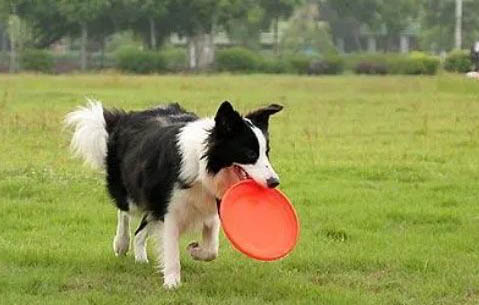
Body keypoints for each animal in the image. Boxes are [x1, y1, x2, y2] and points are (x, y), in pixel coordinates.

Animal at [65, 100, 284, 288]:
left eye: (267, 153)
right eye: (250, 154)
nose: (274, 182)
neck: (203, 167)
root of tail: (124, 118)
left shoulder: (211, 208)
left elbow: (212, 249)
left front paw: (195, 250)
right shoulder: (170, 210)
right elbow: (171, 249)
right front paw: (172, 283)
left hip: (154, 201)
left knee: (140, 230)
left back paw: (140, 257)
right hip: (134, 193)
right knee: (124, 212)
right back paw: (121, 243)